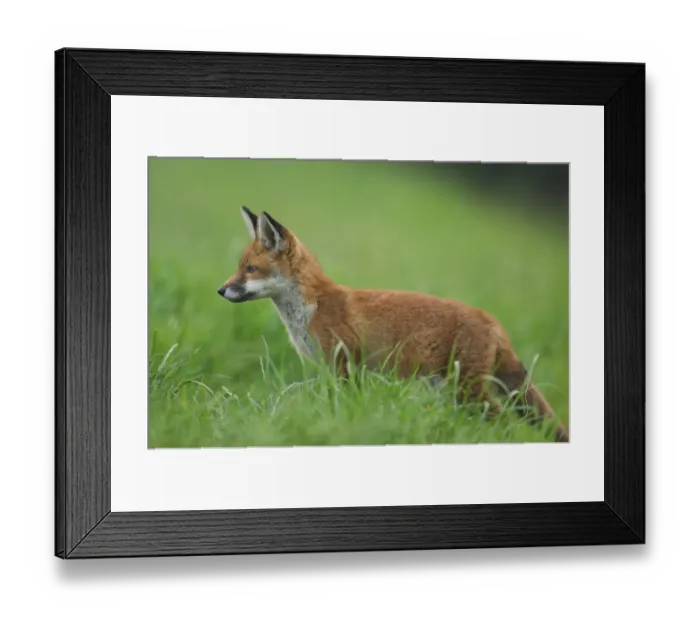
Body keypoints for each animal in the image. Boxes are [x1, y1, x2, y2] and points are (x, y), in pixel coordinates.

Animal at [218, 206, 569, 443]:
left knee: (504, 425)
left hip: (469, 391)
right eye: (239, 267)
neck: (311, 309)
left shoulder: (344, 365)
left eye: (250, 269)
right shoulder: (337, 371)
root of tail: (491, 318)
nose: (221, 290)